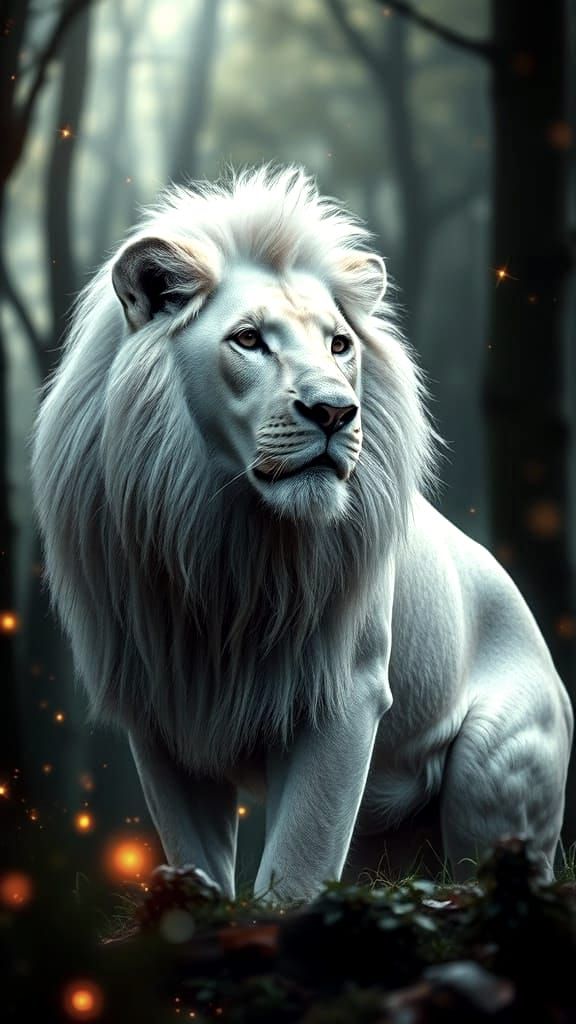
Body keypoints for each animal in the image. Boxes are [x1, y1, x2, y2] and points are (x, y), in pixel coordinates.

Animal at [31, 166, 573, 901]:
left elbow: (298, 859)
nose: (334, 411)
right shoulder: (160, 704)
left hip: (494, 775)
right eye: (249, 339)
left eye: (339, 344)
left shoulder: (346, 692)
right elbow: (197, 851)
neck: (225, 540)